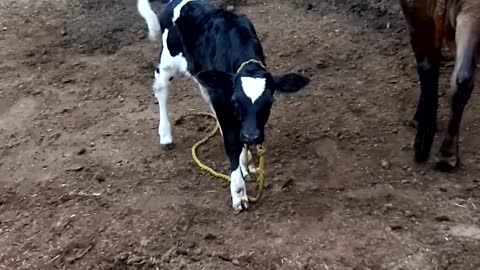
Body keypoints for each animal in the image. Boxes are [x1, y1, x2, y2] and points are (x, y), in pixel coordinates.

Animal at [139, 0, 312, 211]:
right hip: (168, 59)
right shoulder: (223, 100)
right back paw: (165, 135)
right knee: (161, 88)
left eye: (269, 102)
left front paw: (247, 163)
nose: (251, 136)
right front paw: (239, 193)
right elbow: (231, 144)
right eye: (237, 101)